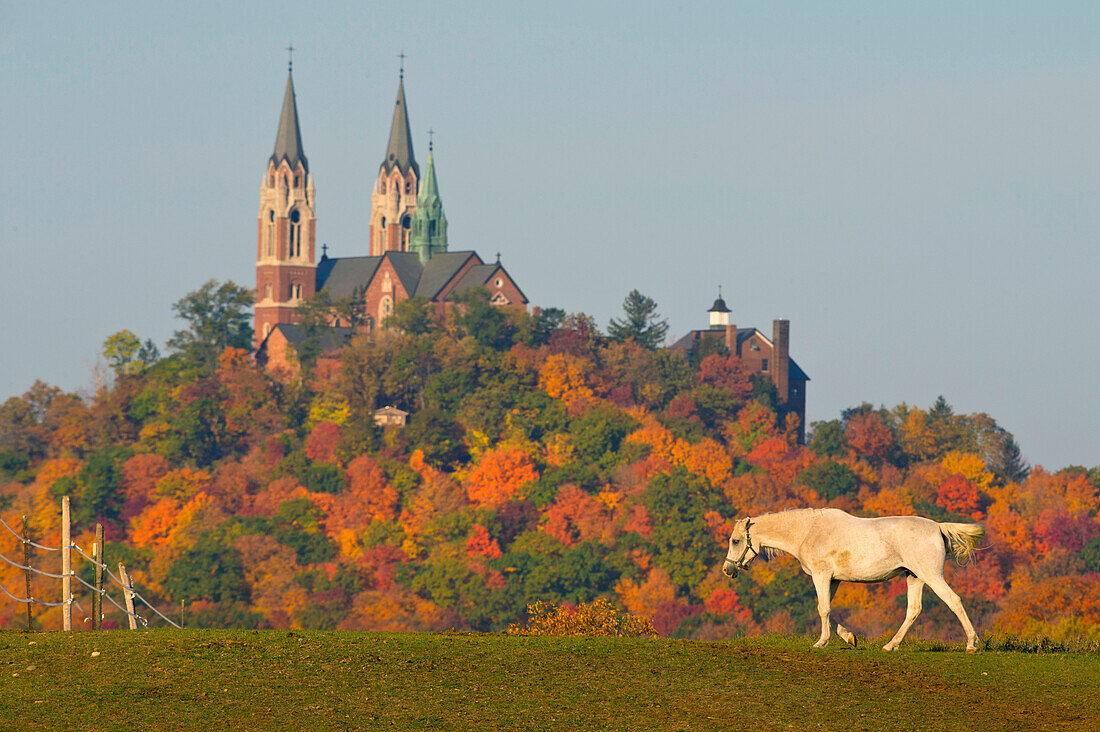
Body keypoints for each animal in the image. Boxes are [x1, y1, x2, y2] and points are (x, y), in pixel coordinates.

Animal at [721, 508, 990, 651]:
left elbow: (823, 609)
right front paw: (848, 637)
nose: (727, 569)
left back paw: (971, 643)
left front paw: (821, 642)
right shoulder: (833, 580)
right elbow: (828, 610)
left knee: (953, 601)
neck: (808, 531)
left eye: (735, 541)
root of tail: (937, 527)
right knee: (914, 610)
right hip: (914, 577)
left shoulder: (821, 575)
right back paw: (891, 645)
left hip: (931, 575)